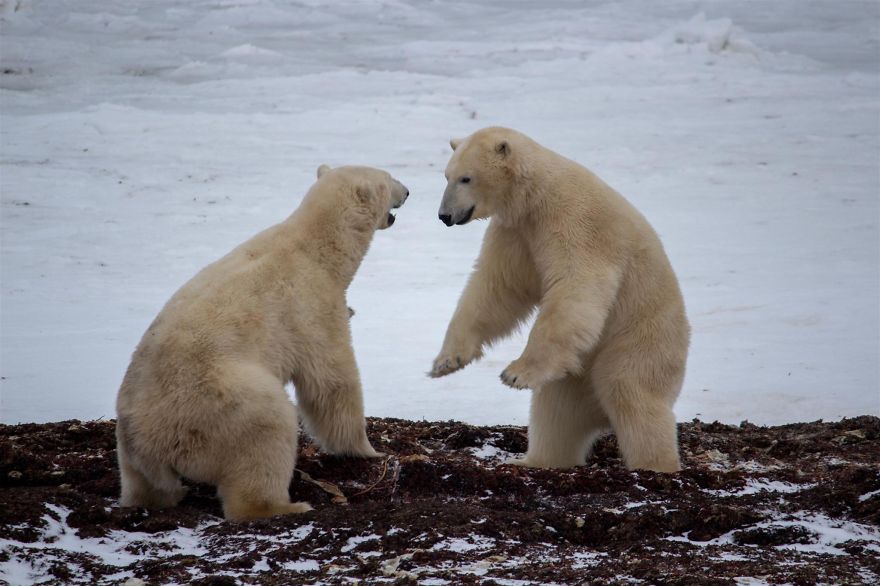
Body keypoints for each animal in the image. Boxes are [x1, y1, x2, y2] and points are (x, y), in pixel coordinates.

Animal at [116, 164, 409, 521]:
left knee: (145, 485)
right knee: (267, 430)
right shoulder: (312, 308)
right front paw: (368, 450)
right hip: (219, 406)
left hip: (132, 445)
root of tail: (144, 442)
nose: (408, 191)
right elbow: (331, 381)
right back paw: (286, 505)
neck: (314, 247)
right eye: (388, 179)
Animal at [430, 127, 689, 473]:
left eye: (466, 178)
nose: (444, 215)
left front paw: (515, 373)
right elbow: (497, 288)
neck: (538, 194)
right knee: (556, 412)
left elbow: (576, 287)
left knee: (633, 395)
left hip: (642, 336)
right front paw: (447, 361)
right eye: (447, 175)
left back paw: (654, 466)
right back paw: (537, 461)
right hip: (576, 373)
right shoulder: (516, 232)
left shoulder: (575, 224)